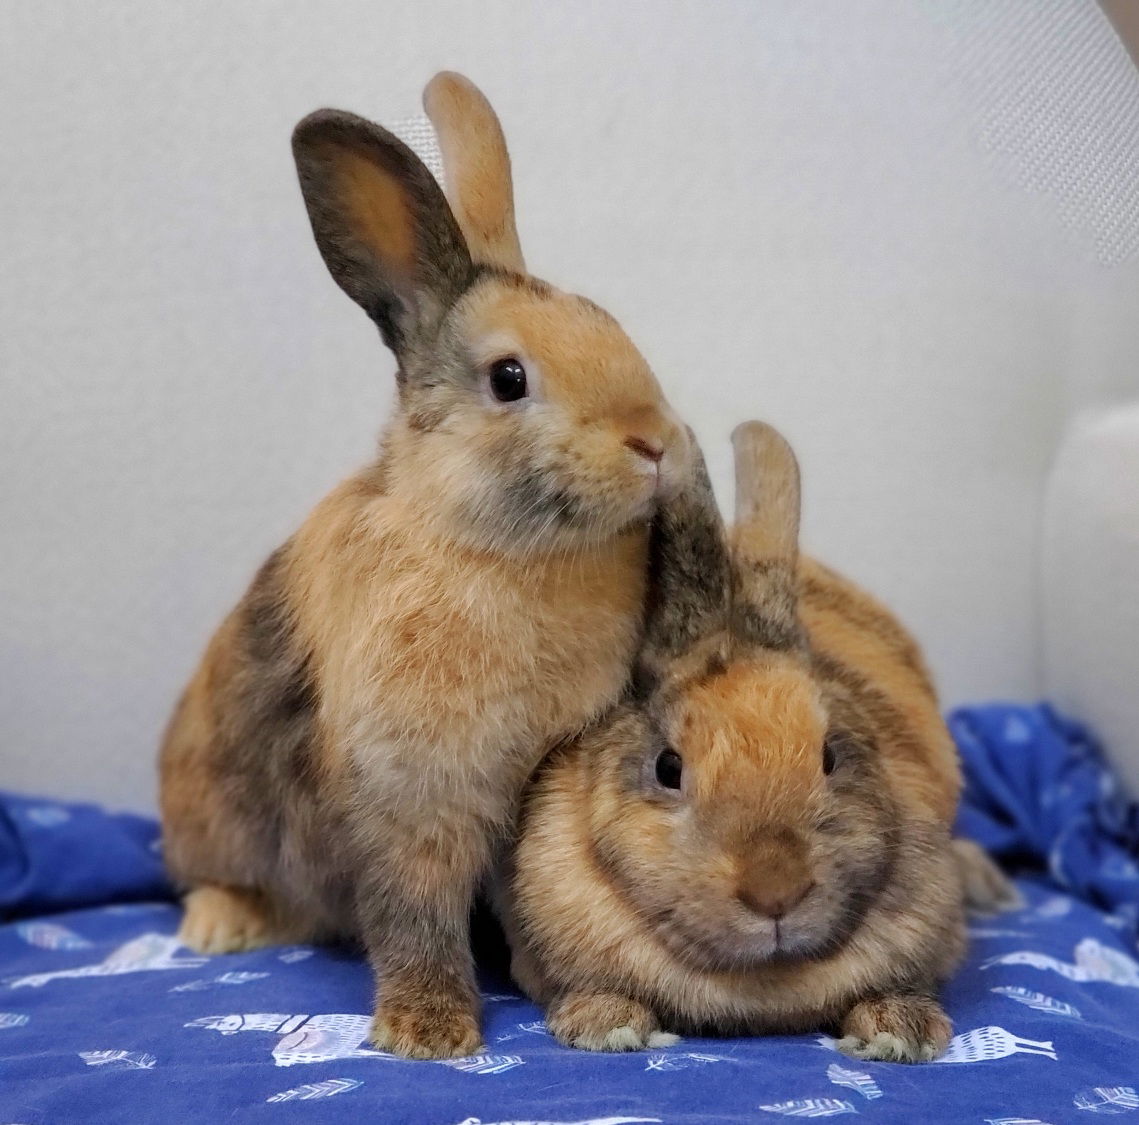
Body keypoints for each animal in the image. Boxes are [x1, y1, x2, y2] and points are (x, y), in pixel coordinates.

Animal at [158, 72, 683, 1061]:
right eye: (509, 378)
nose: (656, 443)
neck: (492, 546)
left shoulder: (539, 783)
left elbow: (532, 899)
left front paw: (579, 999)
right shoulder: (411, 793)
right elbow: (415, 914)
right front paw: (427, 1031)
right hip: (213, 812)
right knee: (224, 879)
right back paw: (218, 926)